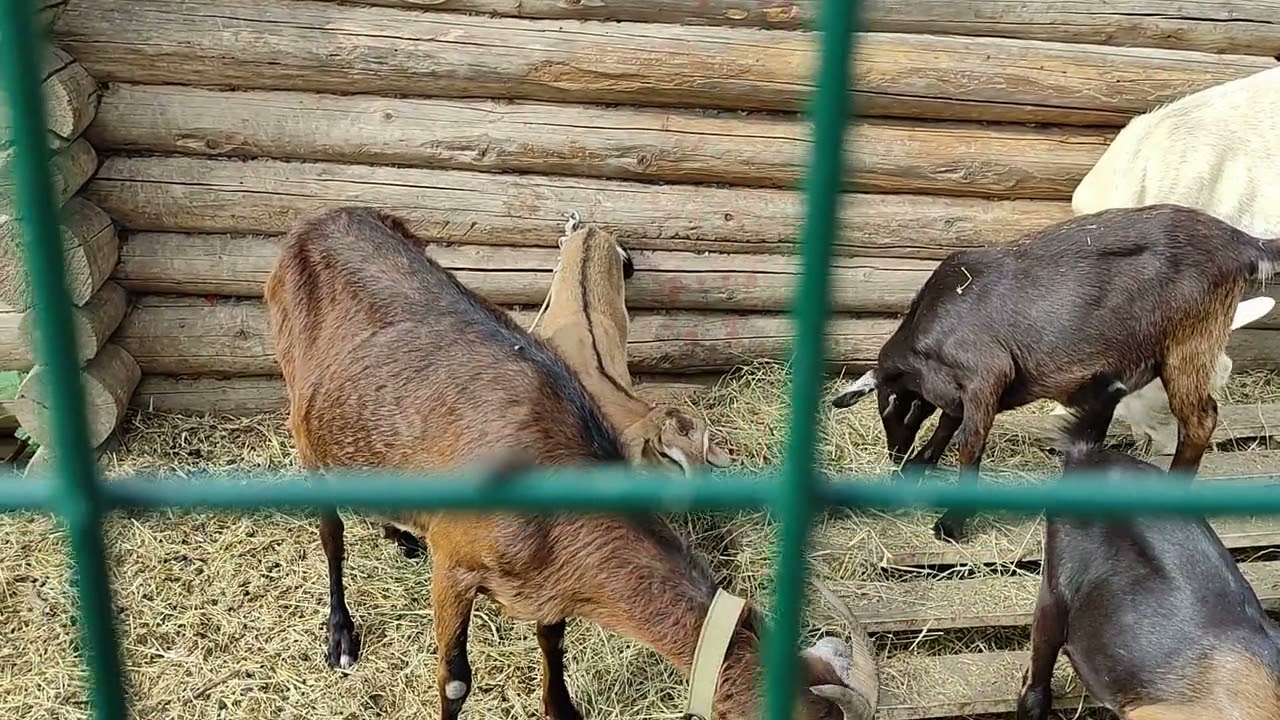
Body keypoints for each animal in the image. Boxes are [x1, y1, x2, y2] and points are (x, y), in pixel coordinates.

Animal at [829, 203, 1280, 543]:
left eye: (891, 405)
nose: (895, 454)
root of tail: (1242, 241)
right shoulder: (963, 391)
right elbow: (946, 424)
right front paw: (918, 467)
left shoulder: (985, 374)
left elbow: (968, 443)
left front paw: (951, 524)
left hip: (1188, 342)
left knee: (1201, 419)